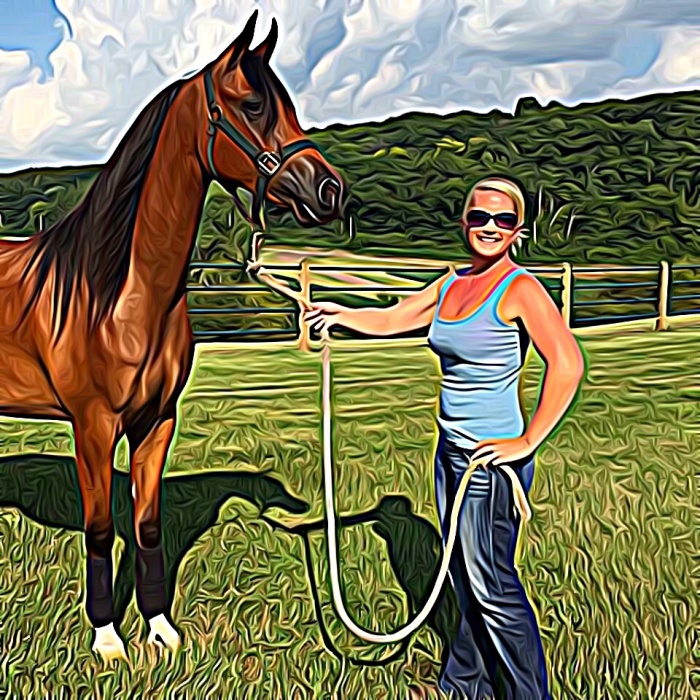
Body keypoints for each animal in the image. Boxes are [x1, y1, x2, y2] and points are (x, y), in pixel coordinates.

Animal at [0, 10, 344, 662]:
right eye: (252, 104)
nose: (330, 190)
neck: (120, 294)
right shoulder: (93, 425)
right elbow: (101, 529)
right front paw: (108, 638)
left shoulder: (157, 421)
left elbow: (147, 523)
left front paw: (160, 628)